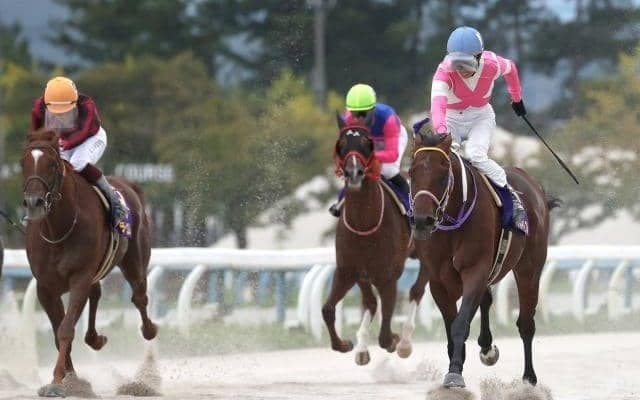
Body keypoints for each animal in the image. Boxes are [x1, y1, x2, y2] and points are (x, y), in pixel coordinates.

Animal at [21, 130, 157, 397]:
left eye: (52, 165)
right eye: (24, 163)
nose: (34, 202)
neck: (59, 230)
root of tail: (129, 185)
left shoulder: (79, 278)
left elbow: (65, 329)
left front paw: (57, 381)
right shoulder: (45, 287)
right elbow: (58, 331)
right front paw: (71, 379)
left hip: (134, 260)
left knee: (139, 296)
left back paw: (149, 331)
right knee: (97, 293)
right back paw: (95, 338)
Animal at [322, 113, 425, 365]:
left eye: (366, 143)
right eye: (341, 145)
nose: (354, 173)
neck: (364, 223)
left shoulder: (388, 277)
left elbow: (386, 335)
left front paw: (395, 340)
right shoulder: (348, 270)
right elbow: (328, 310)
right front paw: (346, 344)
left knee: (417, 290)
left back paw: (405, 343)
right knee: (371, 302)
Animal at [409, 131, 559, 388]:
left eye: (443, 174)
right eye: (411, 172)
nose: (422, 220)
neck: (452, 224)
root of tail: (533, 184)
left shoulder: (475, 270)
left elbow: (460, 323)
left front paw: (454, 372)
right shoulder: (438, 281)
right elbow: (452, 325)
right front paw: (457, 363)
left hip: (529, 268)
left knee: (526, 323)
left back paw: (528, 378)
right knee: (487, 300)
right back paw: (487, 348)